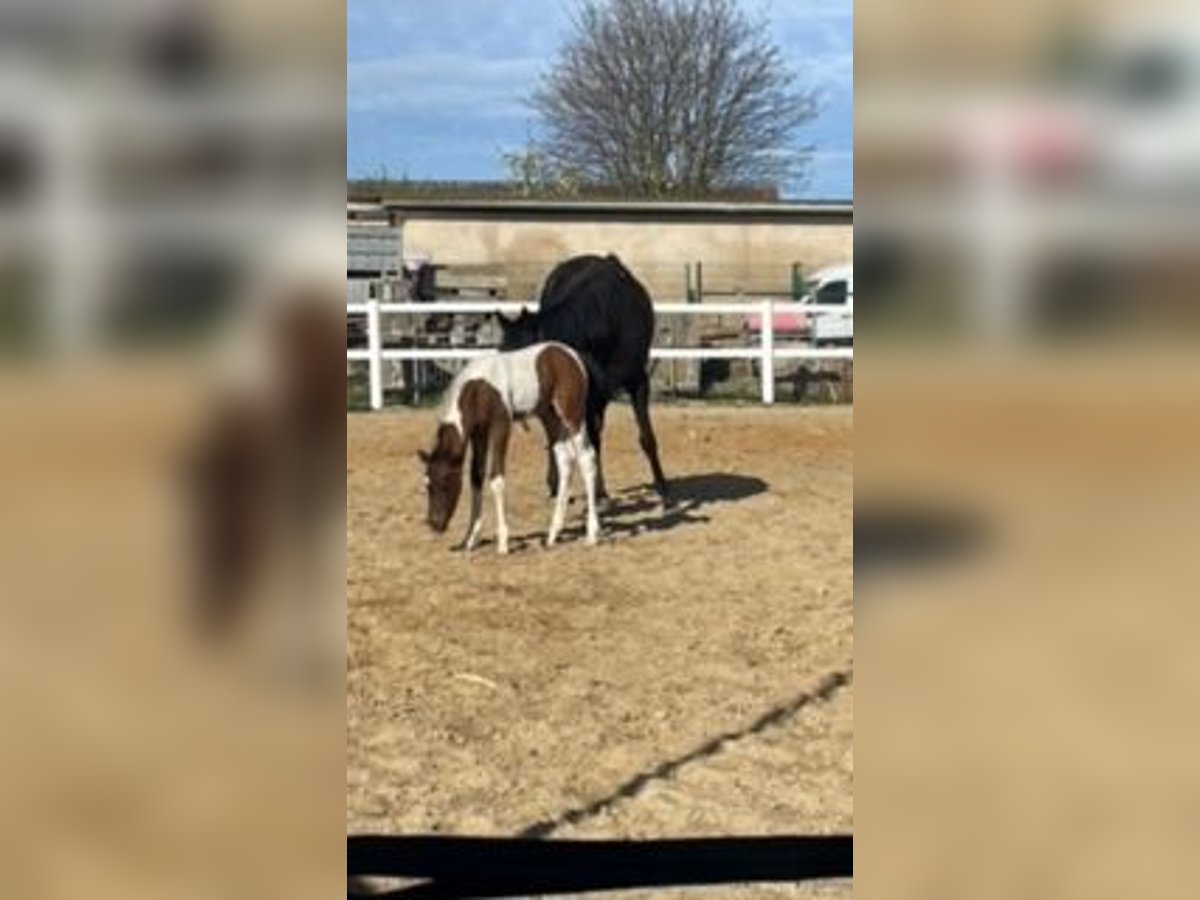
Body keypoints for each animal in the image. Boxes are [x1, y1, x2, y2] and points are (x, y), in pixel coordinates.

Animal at [417, 340, 600, 554]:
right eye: (428, 485)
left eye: (445, 483)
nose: (435, 524)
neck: (477, 389)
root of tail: (572, 354)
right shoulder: (479, 434)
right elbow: (475, 478)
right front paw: (470, 539)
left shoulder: (500, 426)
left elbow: (496, 478)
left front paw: (503, 542)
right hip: (549, 416)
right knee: (564, 460)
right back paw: (553, 534)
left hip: (572, 414)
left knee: (587, 458)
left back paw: (591, 534)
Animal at [492, 255, 672, 508]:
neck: (607, 318)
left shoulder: (637, 381)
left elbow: (646, 437)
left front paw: (663, 488)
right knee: (559, 437)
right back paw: (557, 486)